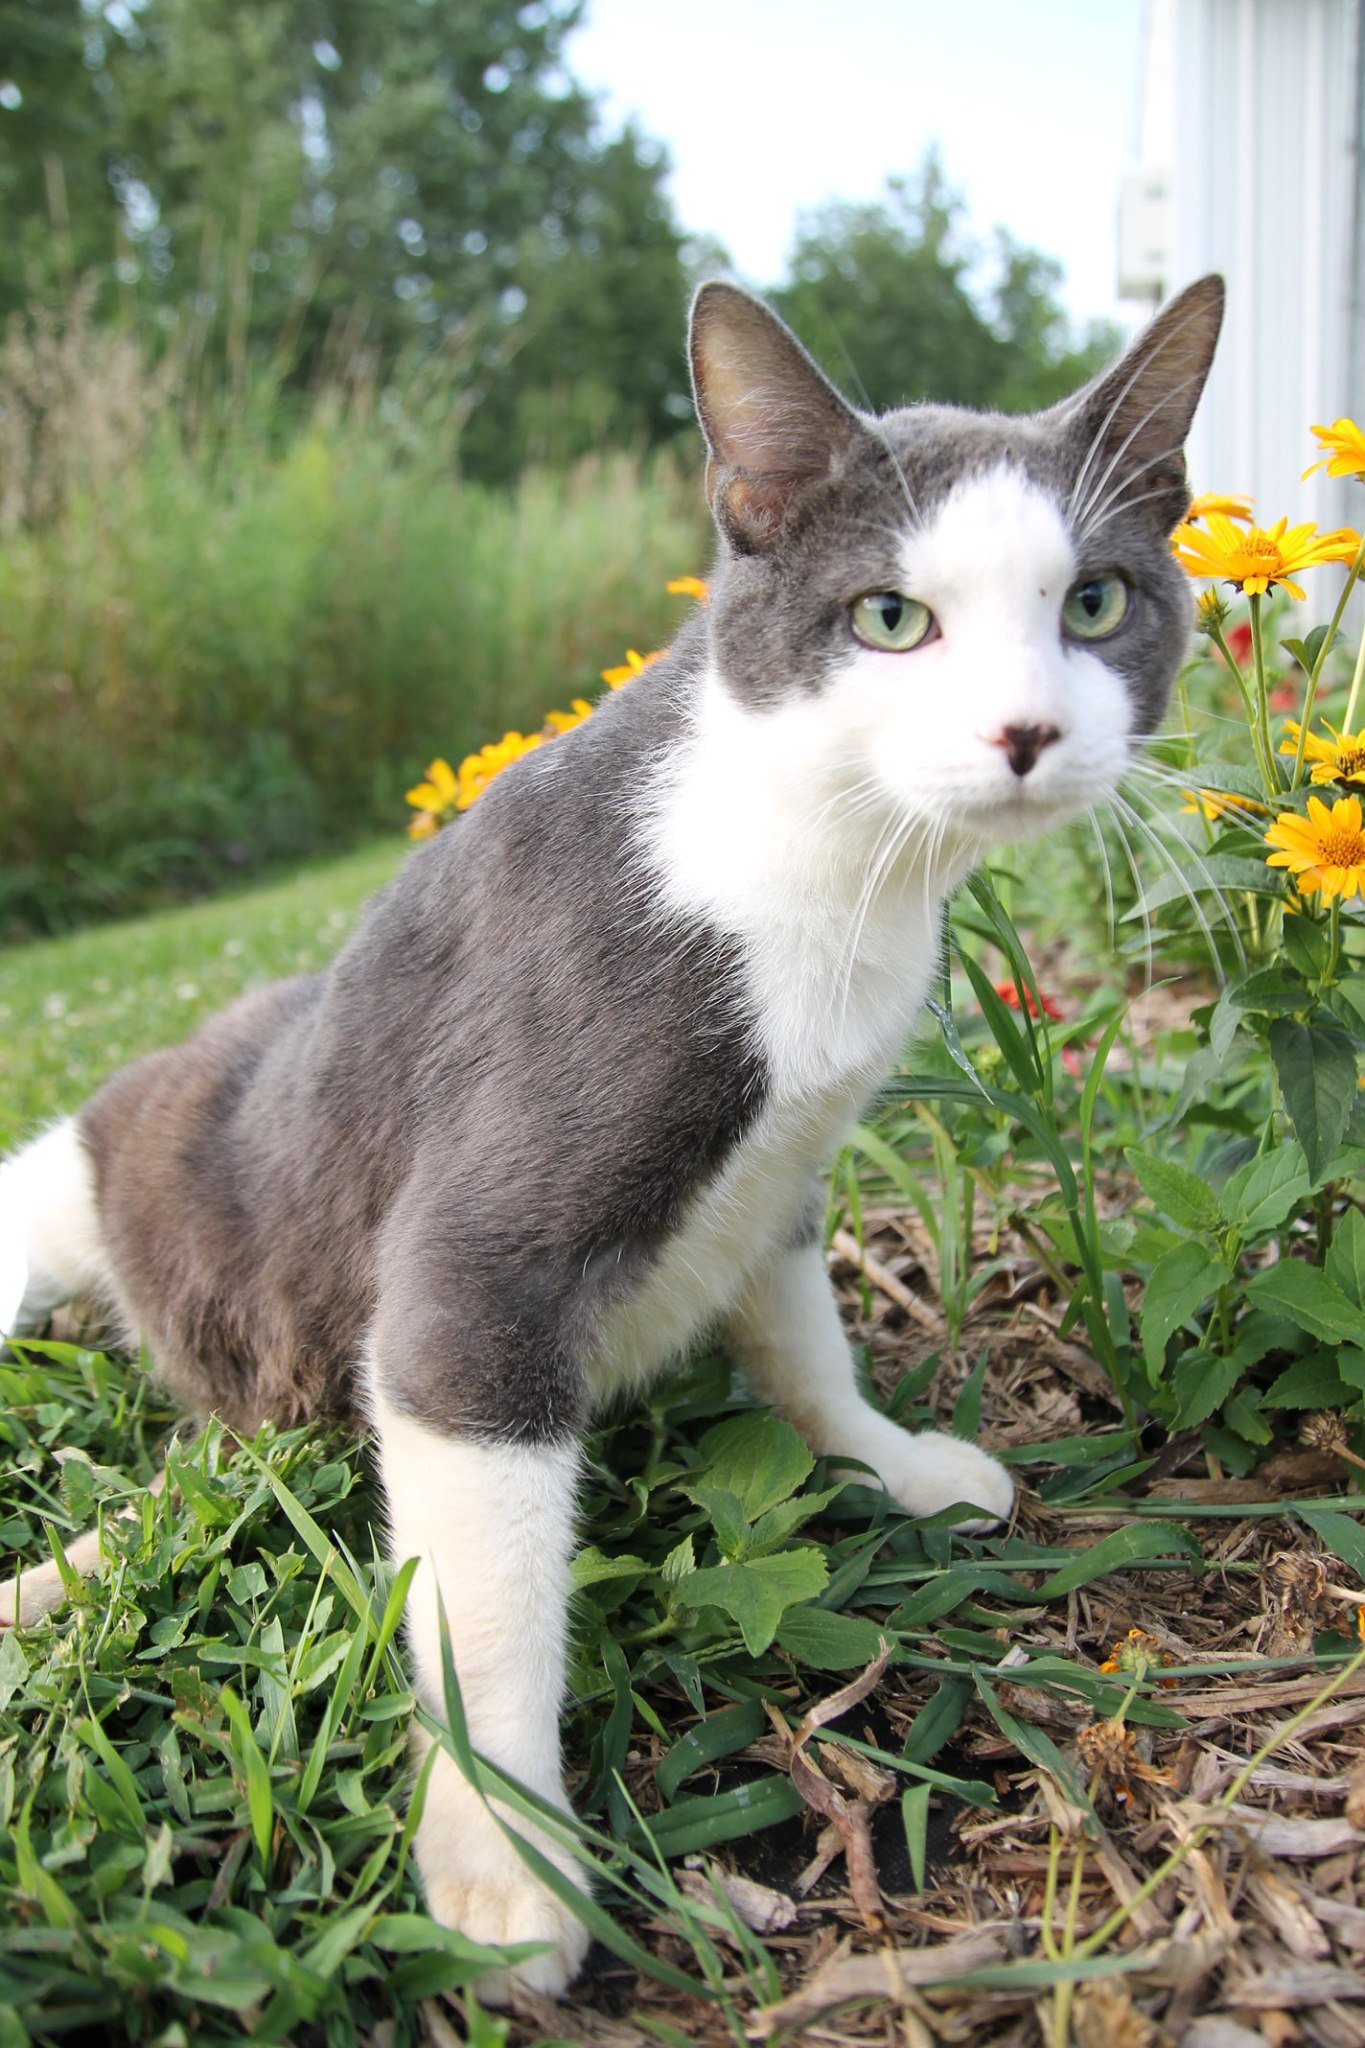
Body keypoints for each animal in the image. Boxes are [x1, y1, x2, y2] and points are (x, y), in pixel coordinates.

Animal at [0, 272, 1219, 1998]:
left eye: (1099, 604)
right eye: (889, 618)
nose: (1027, 732)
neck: (822, 860)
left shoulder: (780, 1168)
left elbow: (800, 1333)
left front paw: (894, 1462)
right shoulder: (493, 1227)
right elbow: (484, 1577)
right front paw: (502, 1863)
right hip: (142, 1161)